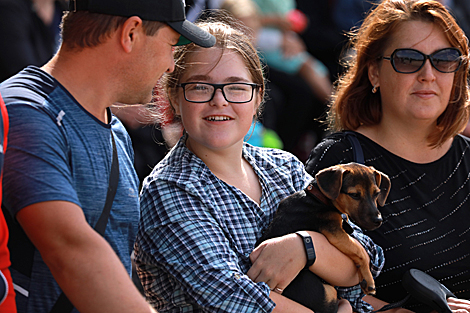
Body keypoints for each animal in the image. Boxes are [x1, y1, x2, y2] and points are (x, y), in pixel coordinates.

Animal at [255, 162, 392, 310]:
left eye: (376, 193)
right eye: (354, 195)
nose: (378, 220)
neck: (318, 198)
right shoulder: (335, 231)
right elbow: (359, 250)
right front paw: (369, 280)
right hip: (328, 293)